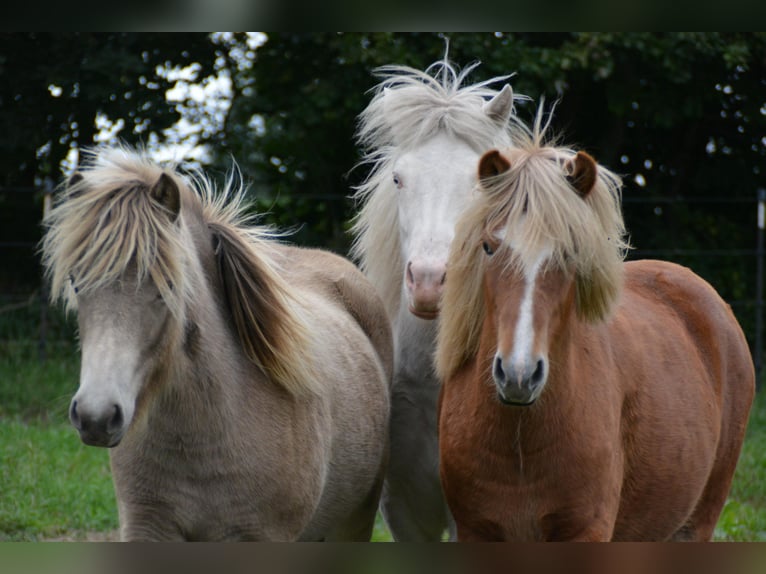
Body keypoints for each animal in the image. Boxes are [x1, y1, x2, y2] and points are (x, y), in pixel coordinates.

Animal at [41, 145, 393, 541]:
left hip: (355, 521)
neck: (199, 436)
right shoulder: (147, 526)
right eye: (76, 282)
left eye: (169, 286)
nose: (96, 416)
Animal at [435, 111, 755, 541]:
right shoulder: (474, 531)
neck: (519, 440)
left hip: (698, 521)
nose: (519, 374)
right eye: (488, 246)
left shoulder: (586, 530)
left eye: (570, 253)